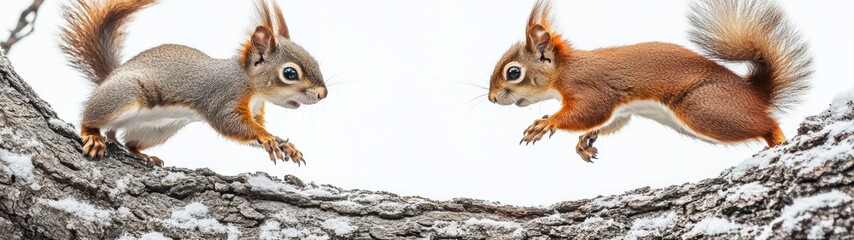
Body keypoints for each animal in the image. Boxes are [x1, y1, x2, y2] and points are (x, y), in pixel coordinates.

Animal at [56, 0, 324, 167]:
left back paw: (144, 155)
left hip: (155, 130)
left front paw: (285, 145)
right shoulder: (224, 97)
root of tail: (110, 77)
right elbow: (232, 124)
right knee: (92, 119)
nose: (323, 94)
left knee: (125, 140)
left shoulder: (256, 109)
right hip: (126, 95)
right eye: (290, 73)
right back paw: (92, 135)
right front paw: (267, 137)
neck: (250, 84)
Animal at [492, 0, 812, 162]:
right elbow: (611, 120)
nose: (492, 98)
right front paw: (585, 141)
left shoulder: (589, 86)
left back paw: (777, 140)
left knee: (767, 124)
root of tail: (755, 93)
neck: (563, 71)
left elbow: (590, 111)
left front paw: (546, 123)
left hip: (705, 109)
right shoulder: (620, 109)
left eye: (513, 72)